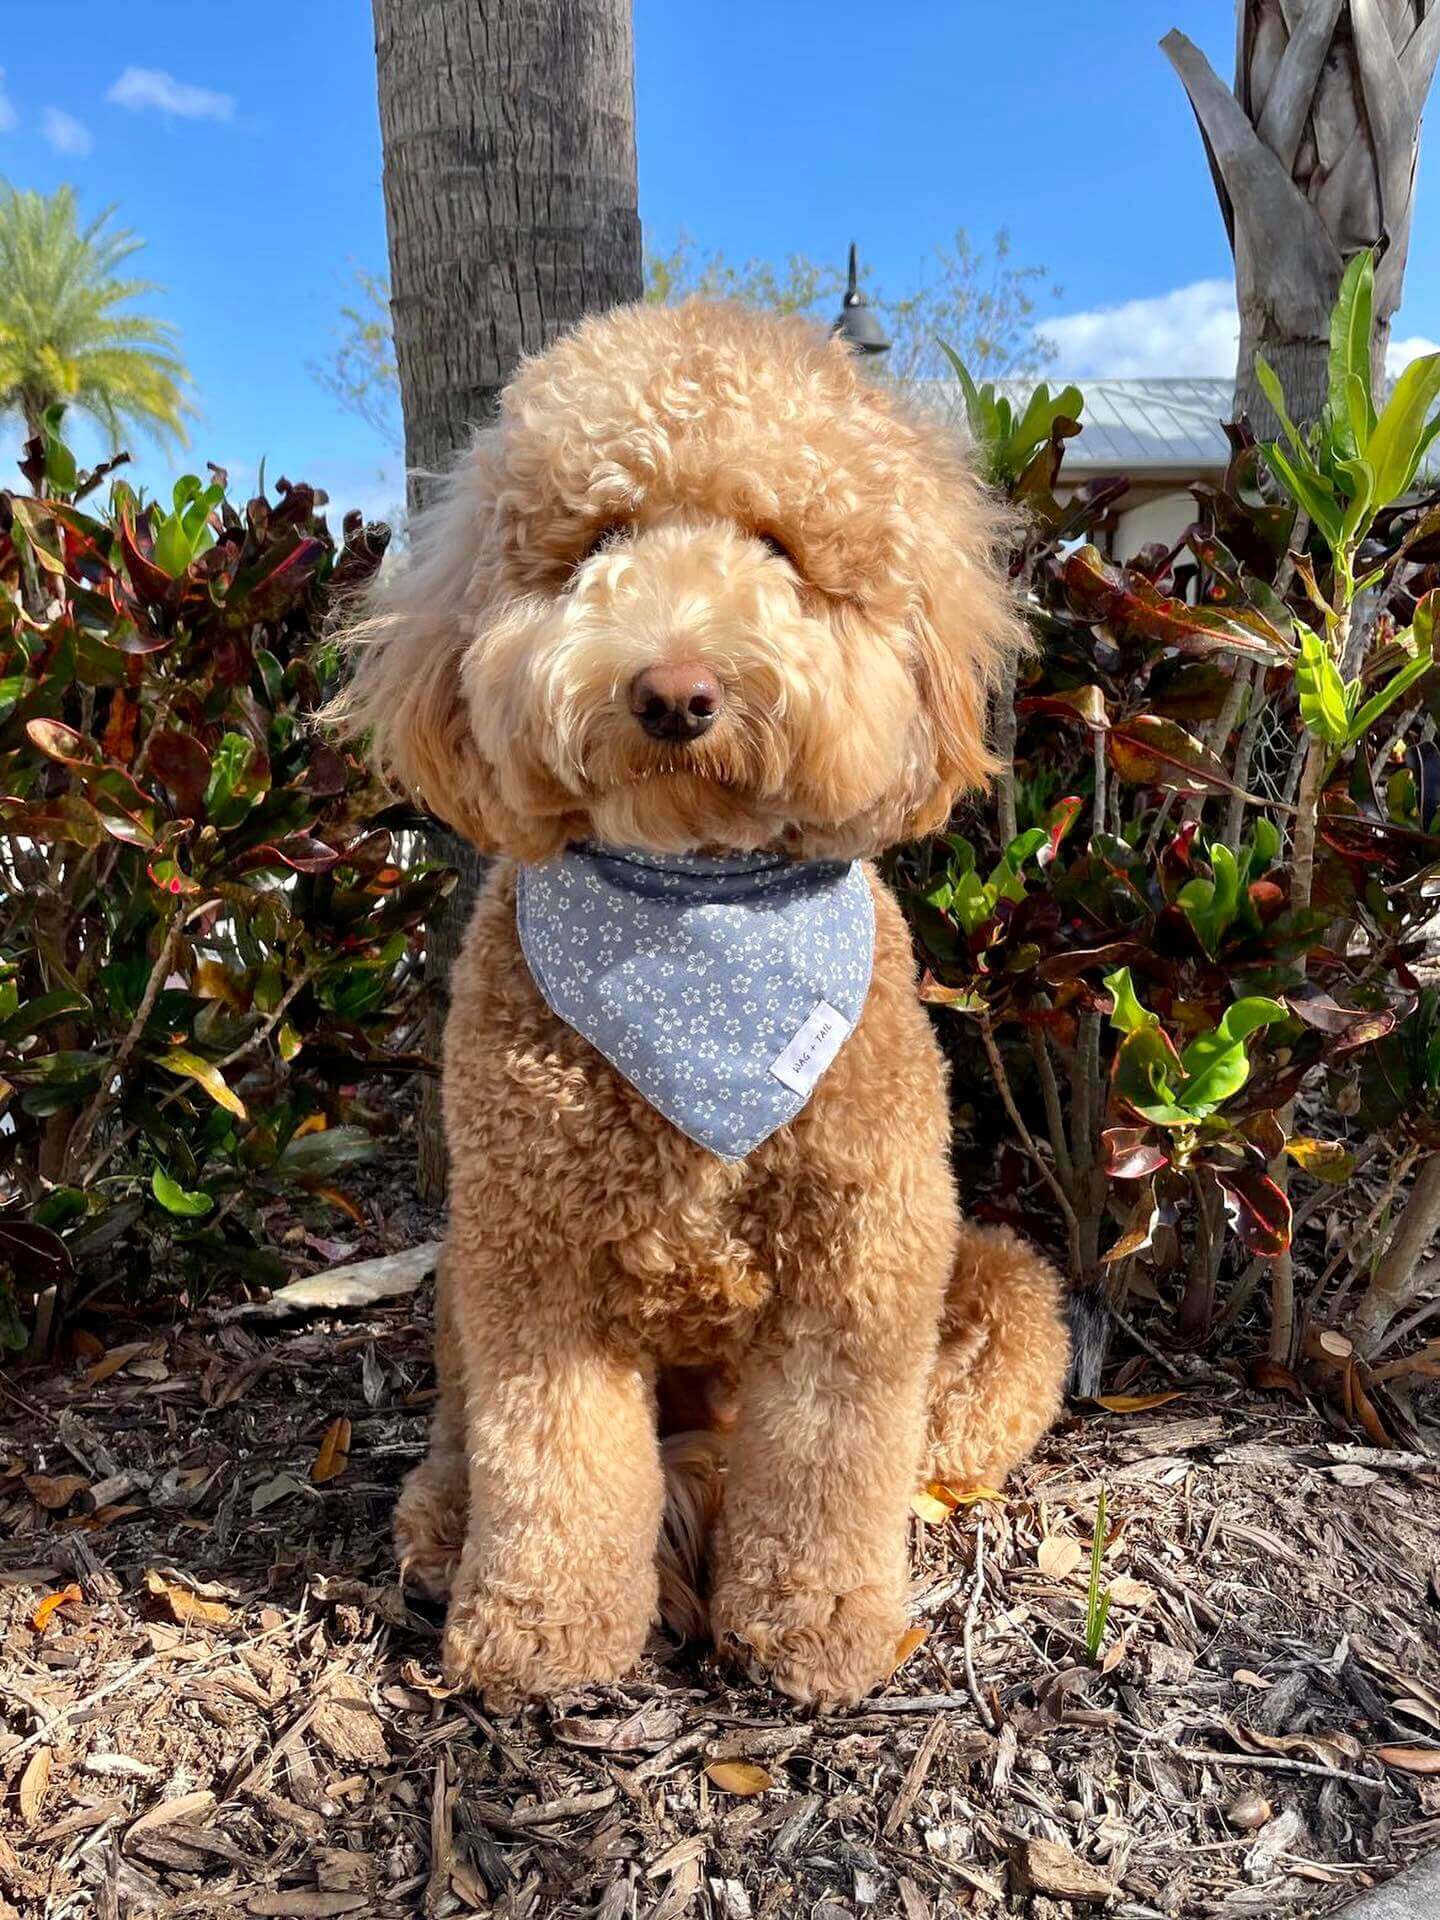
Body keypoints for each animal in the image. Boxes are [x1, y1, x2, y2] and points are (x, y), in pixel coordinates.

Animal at [337, 299, 1075, 1712]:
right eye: (597, 543)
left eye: (780, 548)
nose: (674, 693)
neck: (696, 918)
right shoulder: (537, 1258)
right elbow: (553, 1456)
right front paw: (546, 1632)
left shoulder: (864, 1253)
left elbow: (833, 1455)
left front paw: (818, 1624)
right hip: (466, 1265)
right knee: (465, 1427)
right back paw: (448, 1526)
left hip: (1000, 1282)